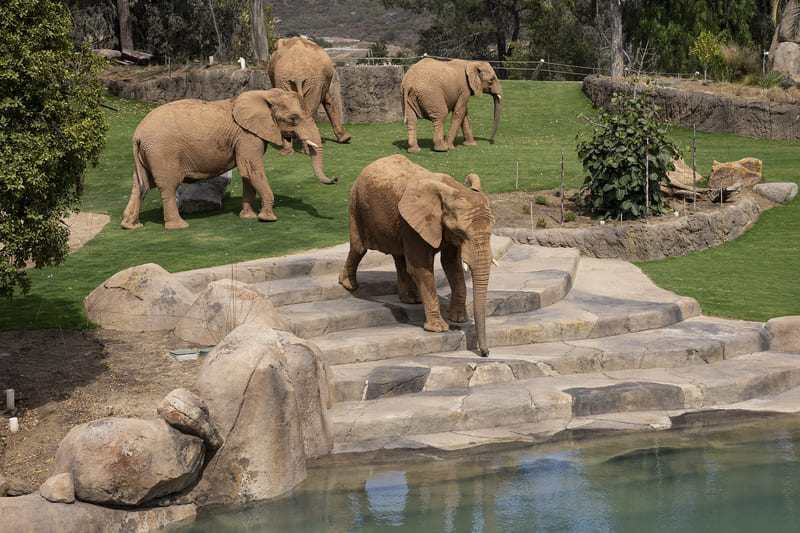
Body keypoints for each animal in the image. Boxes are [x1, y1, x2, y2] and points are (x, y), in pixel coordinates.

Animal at [121, 88, 336, 230]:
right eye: (293, 119)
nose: (335, 179)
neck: (266, 93)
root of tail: (137, 135)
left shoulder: (247, 136)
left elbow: (248, 174)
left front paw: (248, 217)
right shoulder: (247, 136)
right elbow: (252, 169)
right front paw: (268, 219)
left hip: (149, 154)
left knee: (140, 185)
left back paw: (131, 226)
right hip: (162, 152)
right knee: (167, 185)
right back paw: (179, 226)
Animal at [338, 154, 496, 356]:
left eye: (492, 229)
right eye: (461, 233)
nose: (485, 353)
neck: (453, 190)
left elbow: (451, 265)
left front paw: (459, 319)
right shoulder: (412, 223)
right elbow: (421, 267)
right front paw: (439, 329)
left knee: (399, 256)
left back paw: (412, 300)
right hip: (356, 203)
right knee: (359, 248)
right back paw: (347, 284)